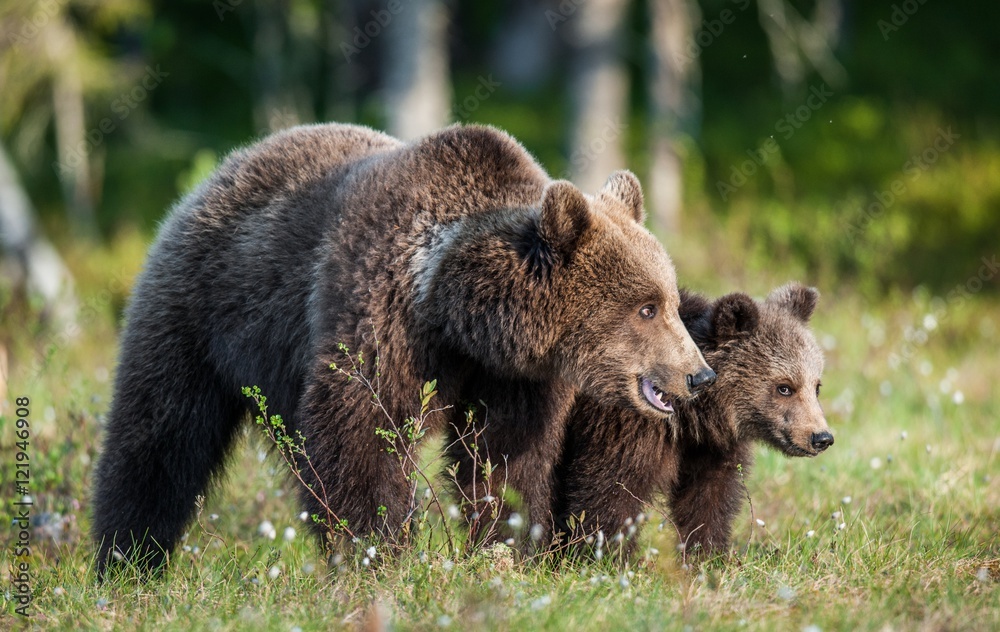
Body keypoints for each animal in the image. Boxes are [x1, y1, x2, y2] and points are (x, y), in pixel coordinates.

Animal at [92, 123, 712, 576]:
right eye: (647, 307)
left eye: (667, 298)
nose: (698, 375)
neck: (455, 310)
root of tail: (223, 169)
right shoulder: (382, 318)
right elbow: (363, 434)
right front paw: (378, 553)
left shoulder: (512, 378)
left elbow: (504, 457)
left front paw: (508, 546)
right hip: (199, 313)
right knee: (159, 438)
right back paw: (128, 560)